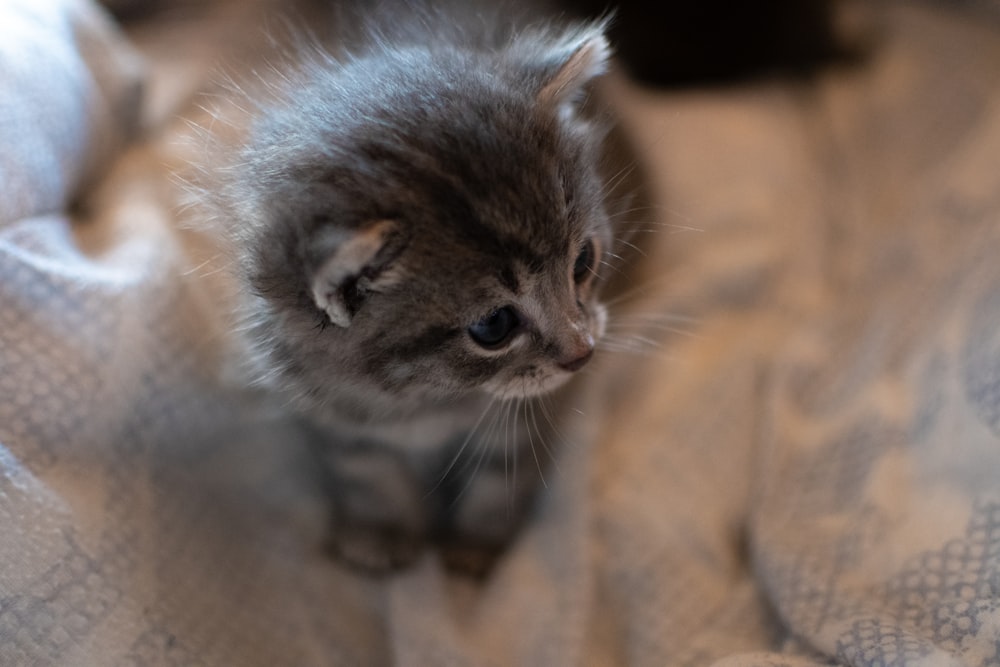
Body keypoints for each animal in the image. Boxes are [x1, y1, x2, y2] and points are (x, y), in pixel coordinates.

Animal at [204, 1, 616, 576]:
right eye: (494, 325)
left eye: (583, 262)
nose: (583, 353)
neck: (422, 398)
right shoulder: (325, 406)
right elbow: (367, 468)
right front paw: (383, 529)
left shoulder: (535, 409)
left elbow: (502, 467)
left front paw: (478, 542)